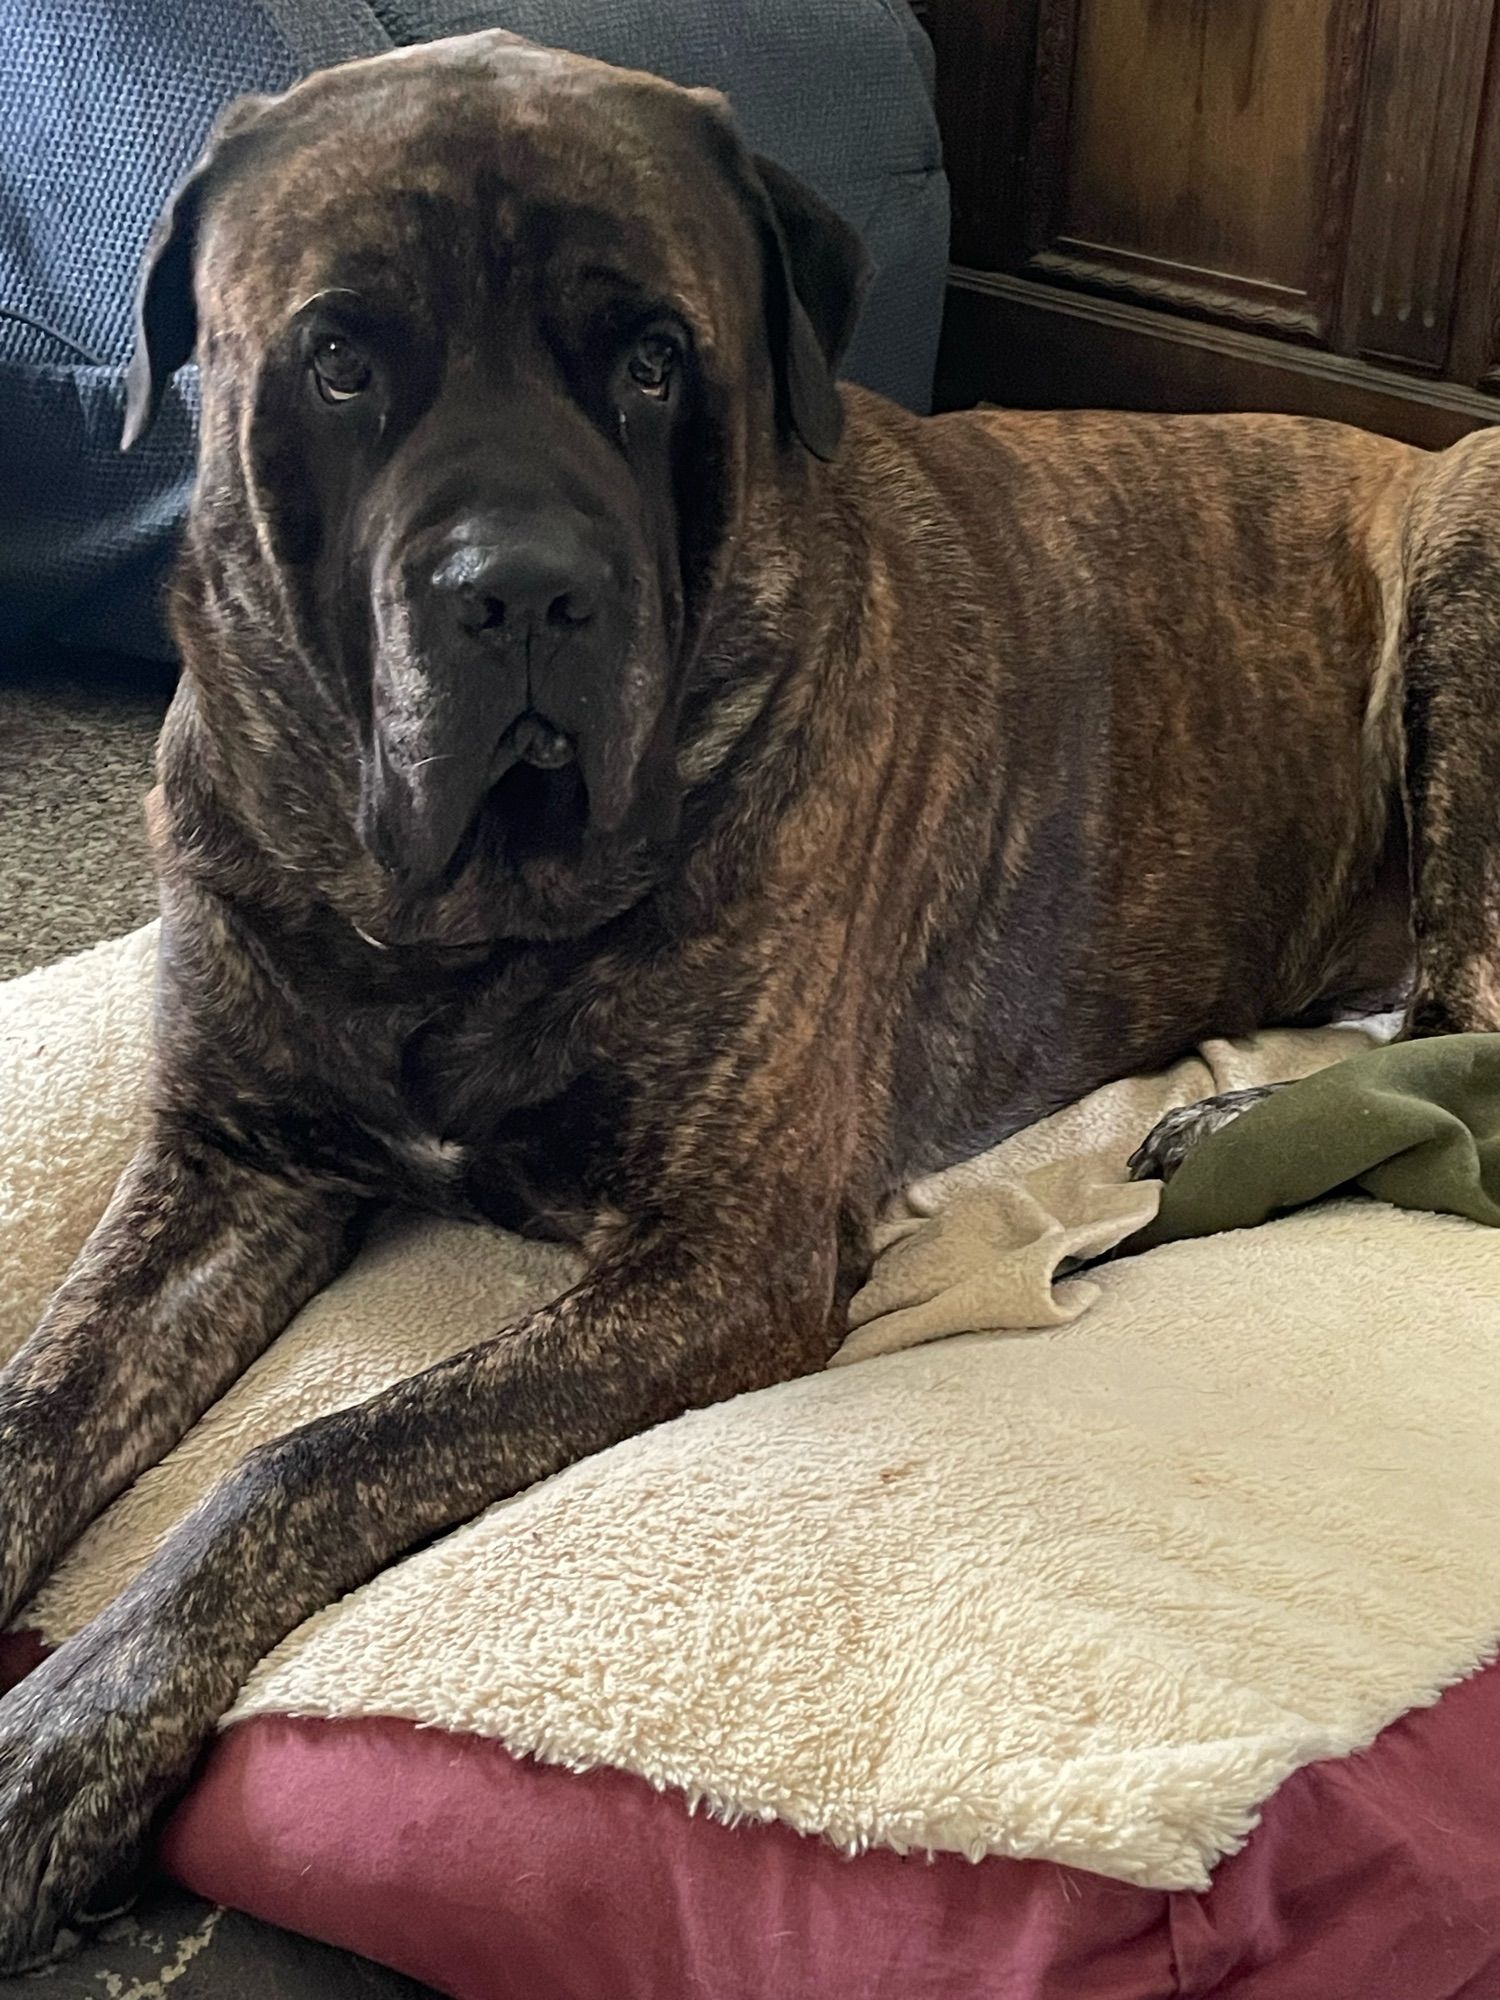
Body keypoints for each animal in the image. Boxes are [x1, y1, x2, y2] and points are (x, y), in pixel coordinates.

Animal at [2, 27, 1500, 1968]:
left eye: (653, 362)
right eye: (341, 360)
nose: (523, 590)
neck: (456, 905)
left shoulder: (723, 1254)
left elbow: (302, 1462)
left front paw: (56, 1748)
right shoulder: (230, 1164)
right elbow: (35, 1409)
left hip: (1471, 560)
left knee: (1469, 1038)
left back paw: (1243, 1121)